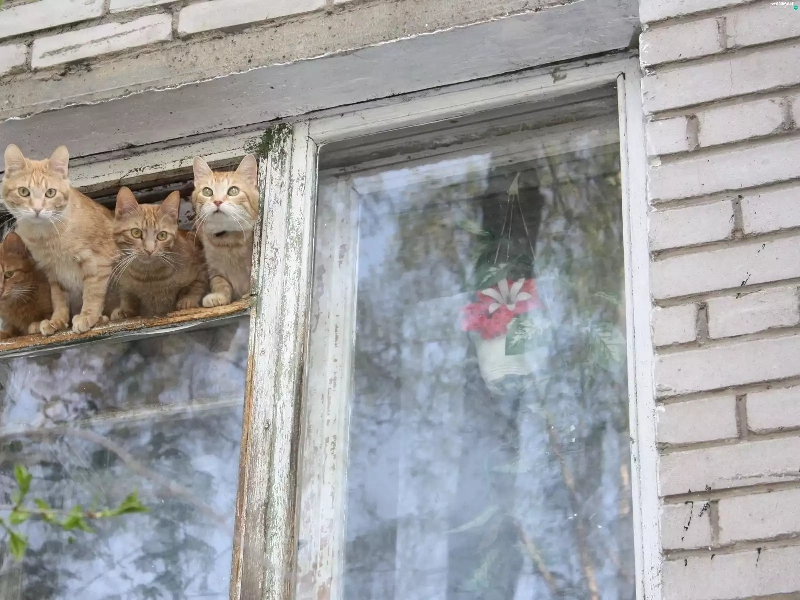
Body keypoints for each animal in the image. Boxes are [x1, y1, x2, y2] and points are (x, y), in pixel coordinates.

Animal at [2, 145, 117, 335]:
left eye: (50, 193)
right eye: (23, 191)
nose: (37, 209)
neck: (47, 236)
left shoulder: (97, 263)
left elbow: (93, 292)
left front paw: (88, 316)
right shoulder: (53, 273)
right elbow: (58, 299)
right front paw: (57, 321)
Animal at [111, 187, 208, 319]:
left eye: (162, 235)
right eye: (136, 233)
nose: (149, 250)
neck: (150, 276)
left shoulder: (200, 264)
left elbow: (196, 285)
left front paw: (188, 300)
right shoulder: (122, 278)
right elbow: (128, 295)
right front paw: (125, 310)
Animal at [191, 155, 258, 307]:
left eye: (233, 190)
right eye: (207, 191)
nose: (217, 201)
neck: (228, 242)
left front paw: (247, 295)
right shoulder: (214, 268)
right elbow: (220, 282)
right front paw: (219, 296)